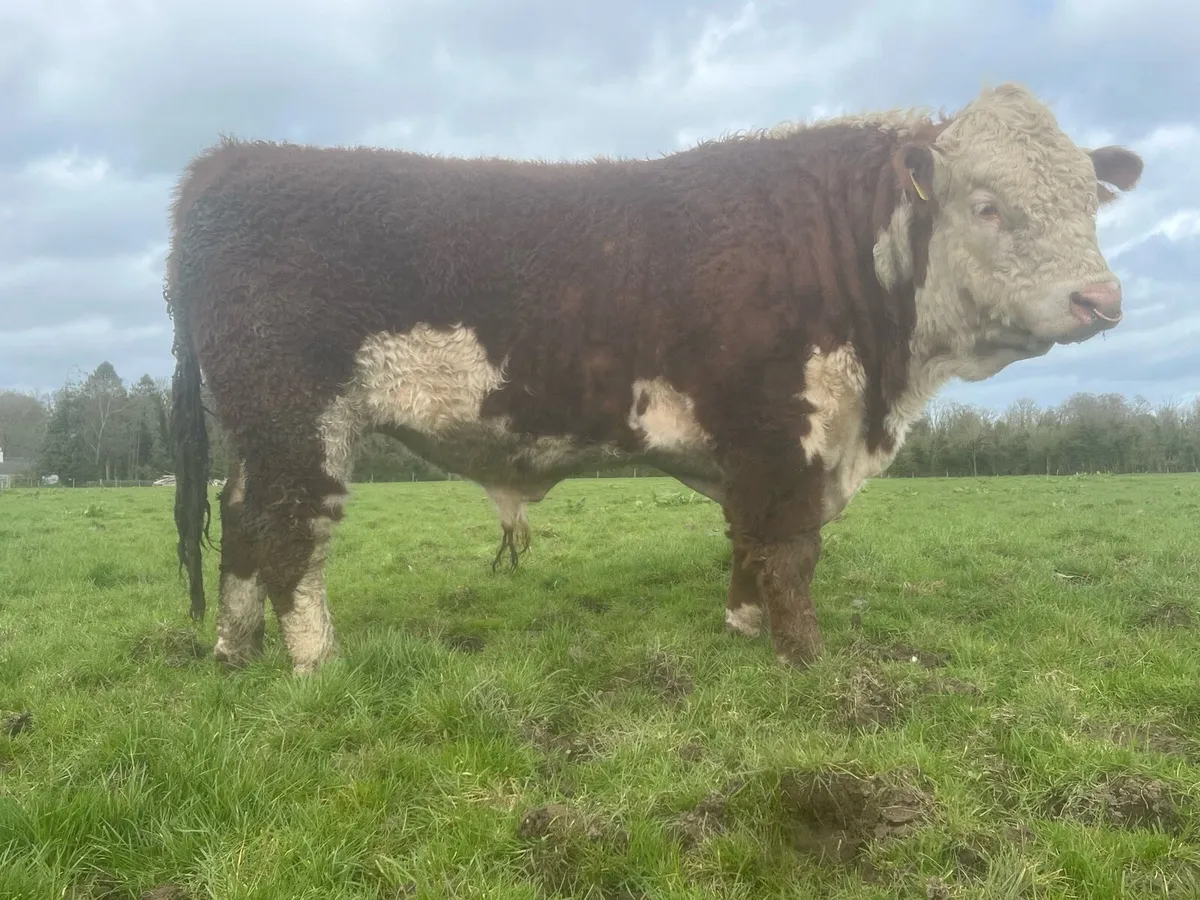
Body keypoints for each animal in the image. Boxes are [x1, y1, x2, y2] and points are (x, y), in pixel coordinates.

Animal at [165, 82, 1143, 675]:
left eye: (1090, 202)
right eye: (988, 205)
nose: (1101, 298)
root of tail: (228, 161)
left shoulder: (760, 445)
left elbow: (748, 541)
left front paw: (742, 629)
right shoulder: (783, 428)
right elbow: (790, 548)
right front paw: (806, 661)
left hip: (257, 423)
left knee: (241, 522)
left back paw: (231, 654)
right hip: (299, 414)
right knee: (292, 534)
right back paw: (315, 665)